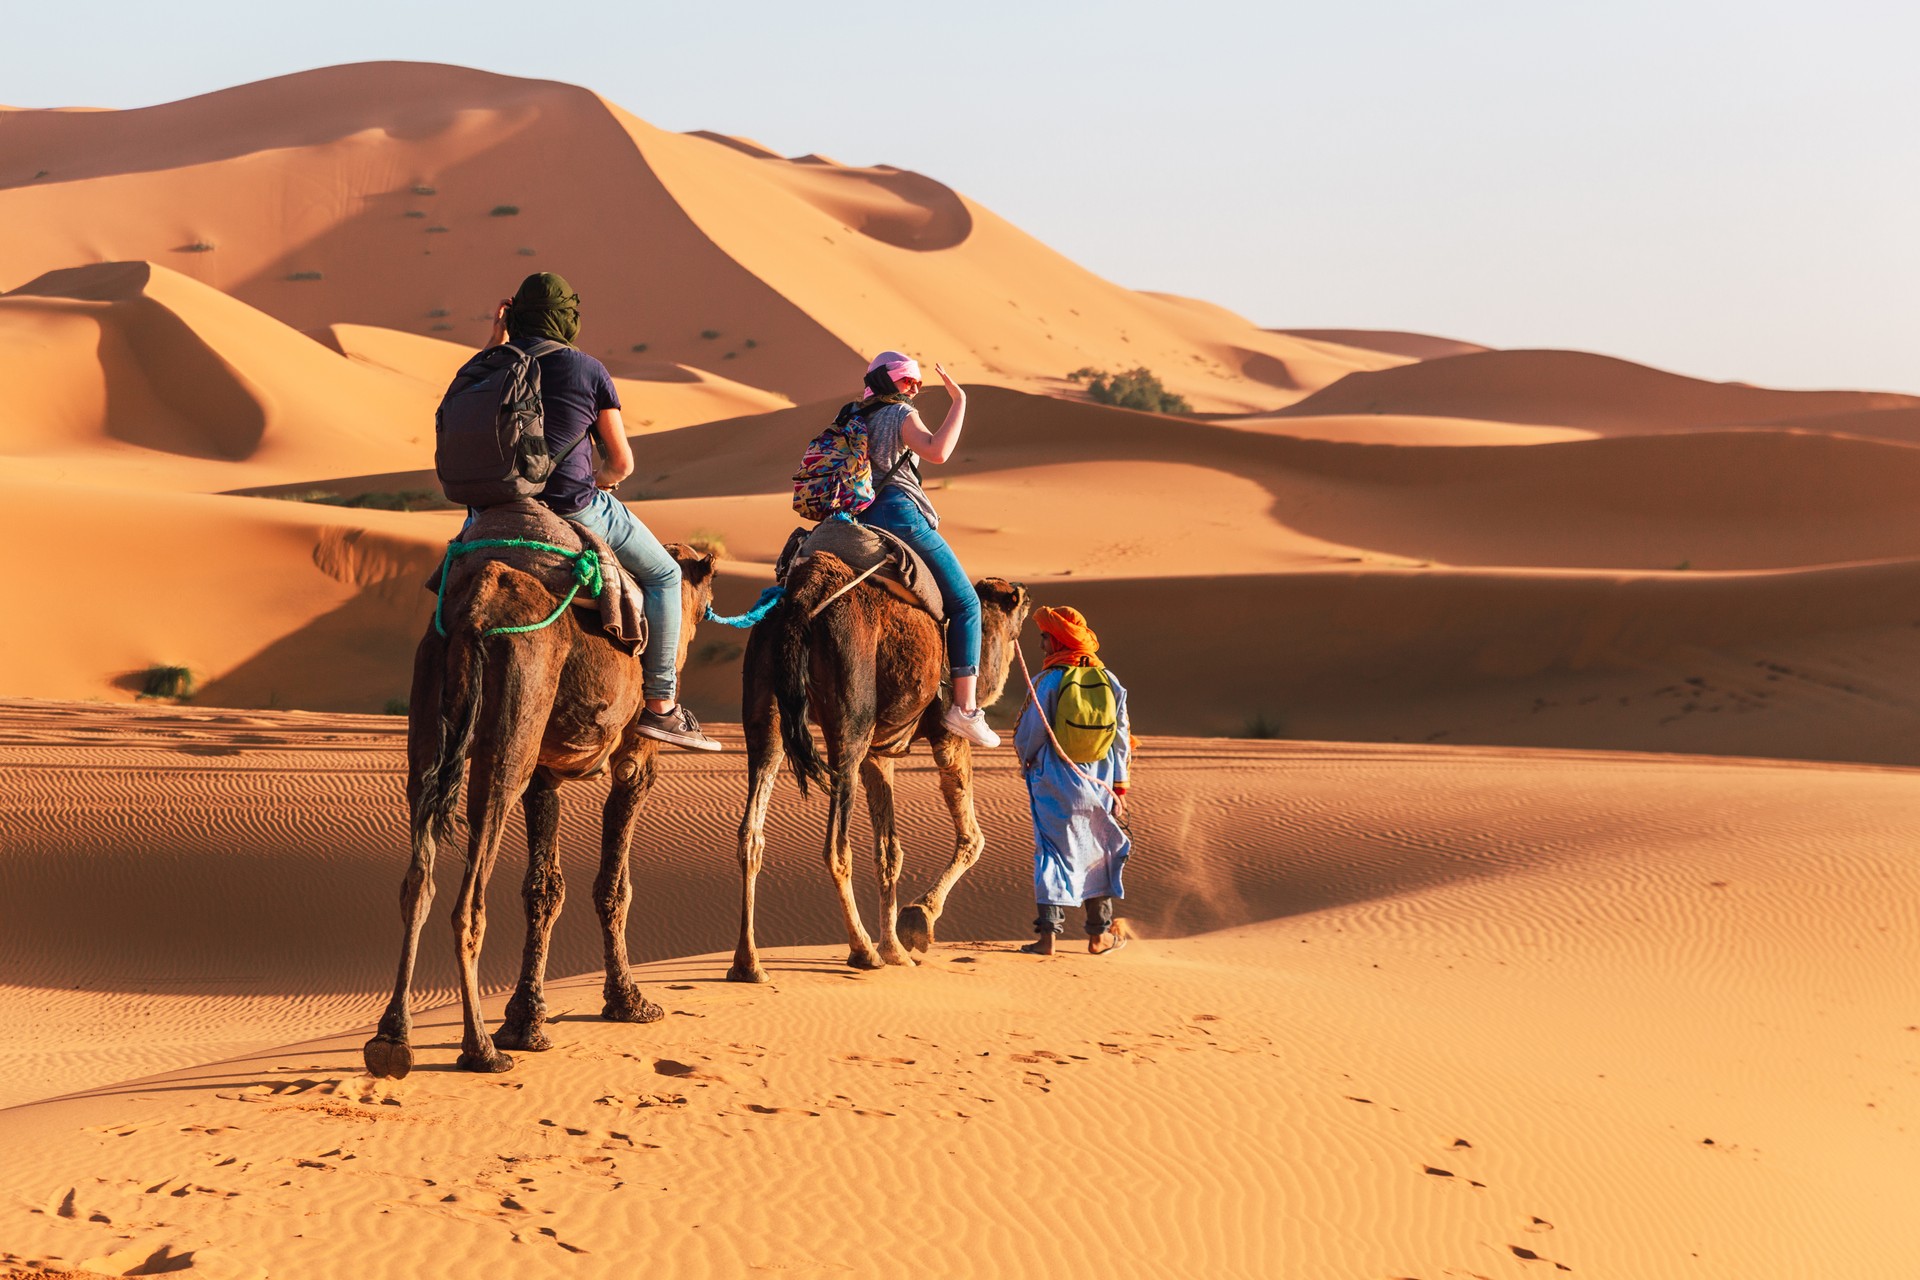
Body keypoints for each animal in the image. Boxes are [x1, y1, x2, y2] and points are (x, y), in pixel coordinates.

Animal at [362, 545, 718, 1082]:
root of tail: (475, 612)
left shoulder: (545, 773)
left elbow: (544, 889)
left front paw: (525, 1022)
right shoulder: (635, 757)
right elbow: (614, 886)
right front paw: (629, 1002)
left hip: (429, 717)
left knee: (417, 882)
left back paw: (391, 1040)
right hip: (513, 723)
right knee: (469, 902)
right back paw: (481, 1051)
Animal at [725, 552, 1029, 982]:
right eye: (1018, 601)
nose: (1029, 596)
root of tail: (804, 596)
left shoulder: (879, 754)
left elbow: (889, 851)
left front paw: (896, 949)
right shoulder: (947, 733)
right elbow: (972, 837)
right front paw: (917, 921)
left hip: (765, 697)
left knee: (752, 831)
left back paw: (748, 963)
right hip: (849, 719)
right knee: (836, 846)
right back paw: (862, 950)